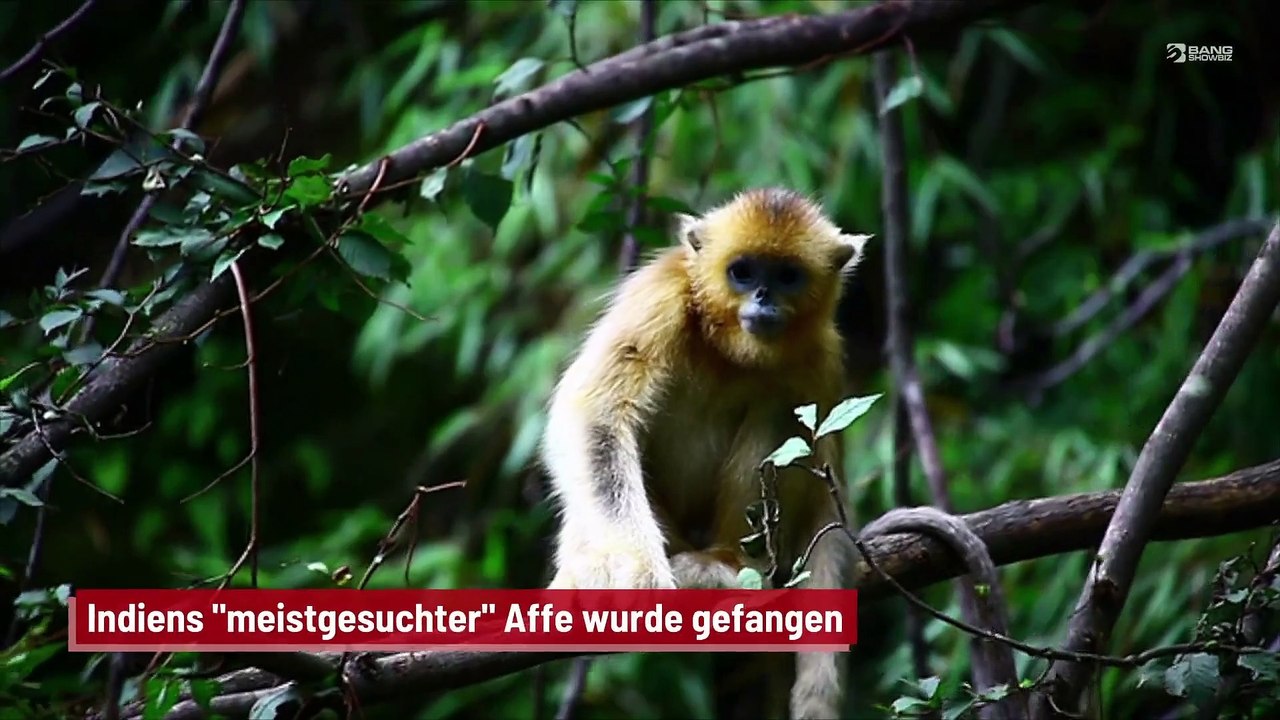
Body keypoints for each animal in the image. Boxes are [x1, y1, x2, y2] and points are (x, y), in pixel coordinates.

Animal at [540, 187, 870, 719]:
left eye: (787, 276)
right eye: (743, 272)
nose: (763, 298)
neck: (727, 345)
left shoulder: (820, 357)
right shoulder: (660, 295)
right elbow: (597, 416)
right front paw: (636, 575)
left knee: (778, 411)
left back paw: (725, 561)